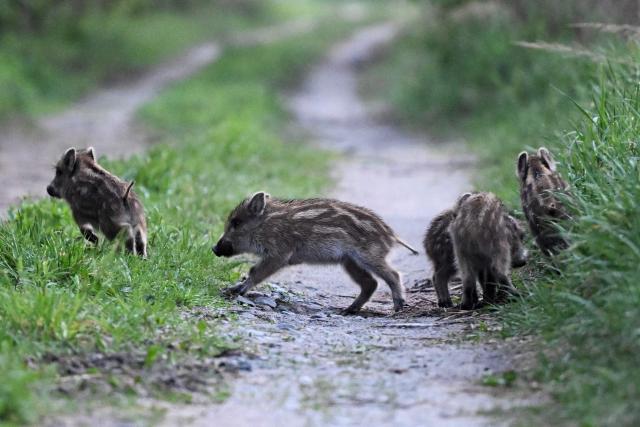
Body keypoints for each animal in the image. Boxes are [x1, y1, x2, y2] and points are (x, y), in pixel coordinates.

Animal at [212, 192, 418, 314]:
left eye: (236, 222)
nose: (214, 248)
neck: (267, 224)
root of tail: (390, 234)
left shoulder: (279, 254)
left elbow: (255, 271)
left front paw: (236, 290)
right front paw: (232, 289)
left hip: (369, 255)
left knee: (392, 274)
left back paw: (398, 306)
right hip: (350, 261)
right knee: (370, 283)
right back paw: (347, 310)